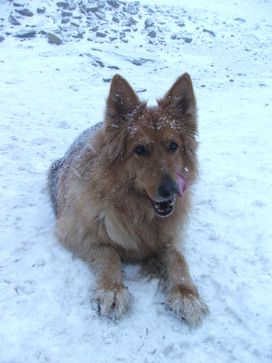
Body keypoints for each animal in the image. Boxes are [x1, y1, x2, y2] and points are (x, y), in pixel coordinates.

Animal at [47, 72, 208, 326]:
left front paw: (186, 294)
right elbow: (108, 253)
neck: (137, 212)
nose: (172, 190)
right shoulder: (74, 233)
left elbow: (178, 258)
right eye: (140, 149)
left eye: (173, 146)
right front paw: (112, 290)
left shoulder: (170, 238)